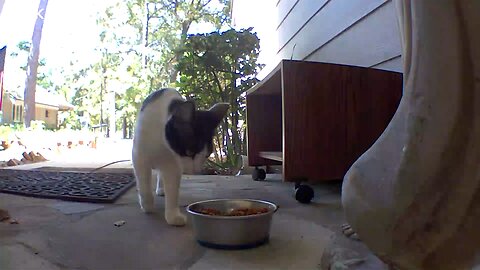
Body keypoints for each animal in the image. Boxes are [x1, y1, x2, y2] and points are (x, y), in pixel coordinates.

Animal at [131, 88, 229, 226]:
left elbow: (172, 189)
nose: (196, 171)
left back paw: (161, 189)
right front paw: (147, 206)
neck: (162, 143)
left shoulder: (173, 165)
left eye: (207, 155)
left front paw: (172, 216)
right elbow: (144, 185)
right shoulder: (139, 157)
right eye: (189, 152)